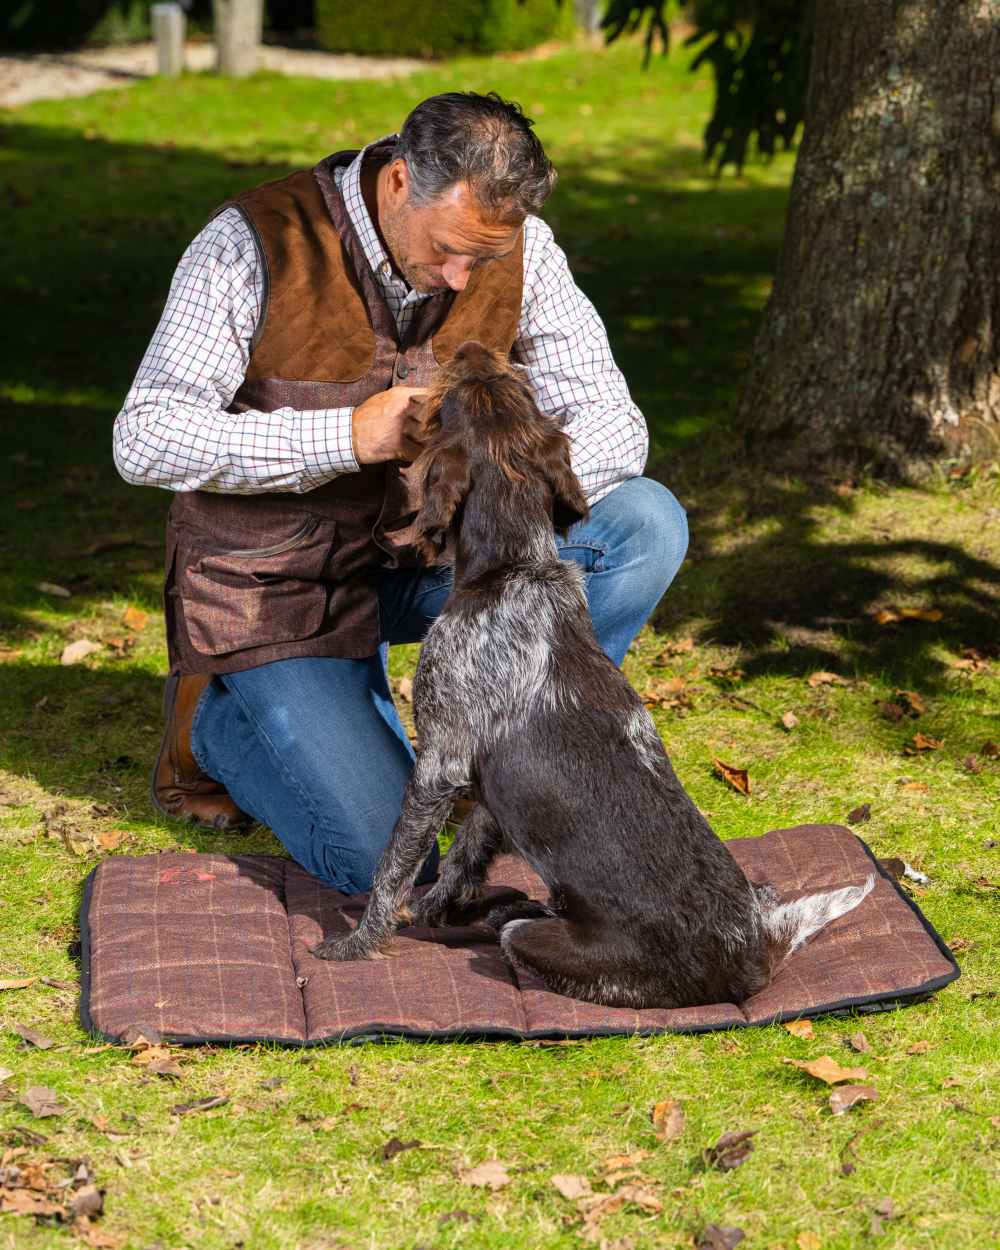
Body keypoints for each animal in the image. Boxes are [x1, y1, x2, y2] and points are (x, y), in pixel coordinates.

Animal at [308, 345, 870, 1015]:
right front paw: (438, 908)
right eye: (517, 384)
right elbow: (465, 853)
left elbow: (392, 869)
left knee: (514, 929)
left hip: (549, 945)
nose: (473, 349)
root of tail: (752, 952)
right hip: (759, 893)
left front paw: (357, 944)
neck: (517, 566)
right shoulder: (485, 784)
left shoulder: (441, 760)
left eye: (457, 395)